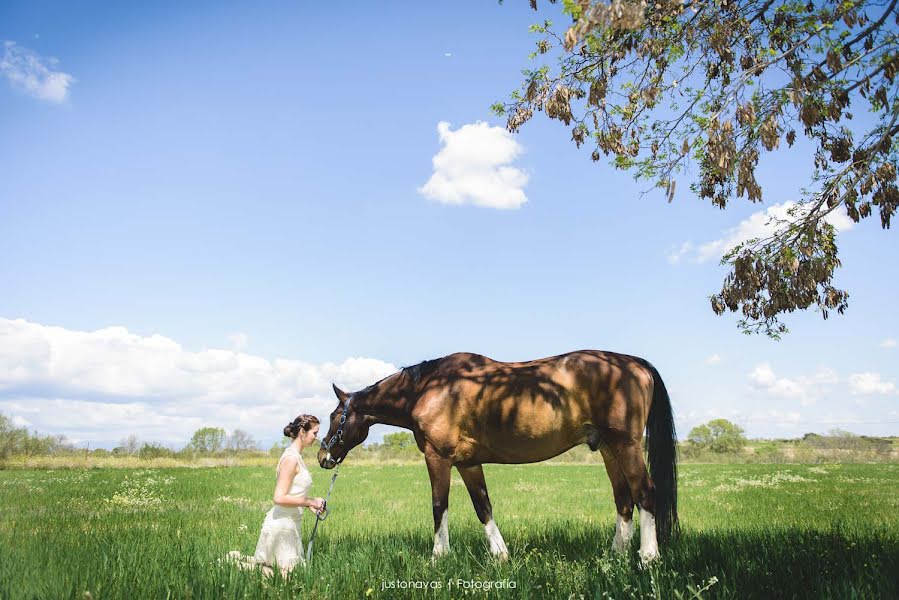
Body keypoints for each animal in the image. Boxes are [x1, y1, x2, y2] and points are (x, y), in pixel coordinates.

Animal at [320, 350, 680, 564]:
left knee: (645, 493)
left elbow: (439, 506)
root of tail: (635, 363)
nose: (324, 455)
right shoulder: (467, 463)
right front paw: (501, 555)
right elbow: (483, 506)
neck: (432, 388)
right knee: (623, 499)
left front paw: (438, 557)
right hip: (608, 449)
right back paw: (614, 557)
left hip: (626, 445)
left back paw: (648, 558)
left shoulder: (438, 458)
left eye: (335, 415)